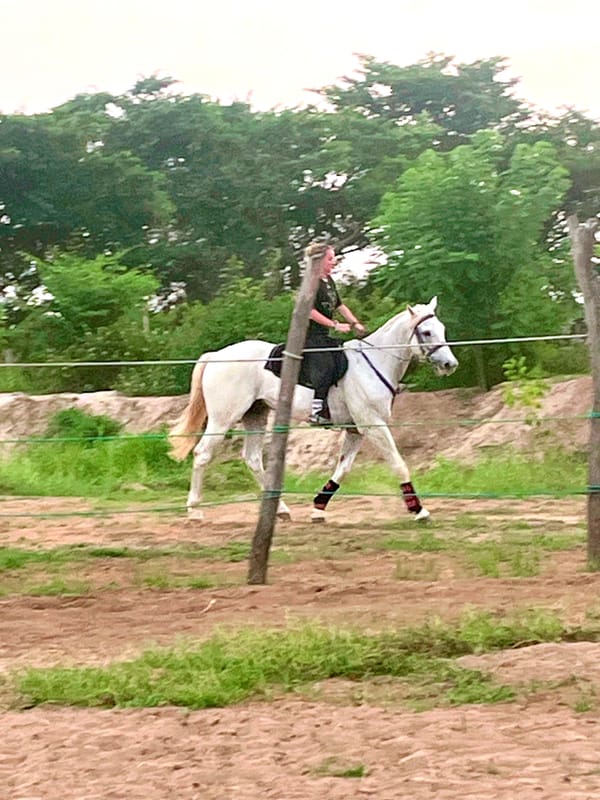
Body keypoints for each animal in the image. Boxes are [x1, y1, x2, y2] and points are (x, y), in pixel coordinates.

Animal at [168, 296, 458, 523]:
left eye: (442, 328)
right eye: (427, 332)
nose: (449, 364)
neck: (375, 361)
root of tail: (216, 355)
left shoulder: (356, 430)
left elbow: (343, 468)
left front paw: (319, 507)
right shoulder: (373, 425)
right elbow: (398, 464)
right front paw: (419, 510)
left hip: (256, 415)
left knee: (252, 459)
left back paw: (281, 510)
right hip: (223, 418)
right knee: (203, 454)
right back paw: (194, 511)